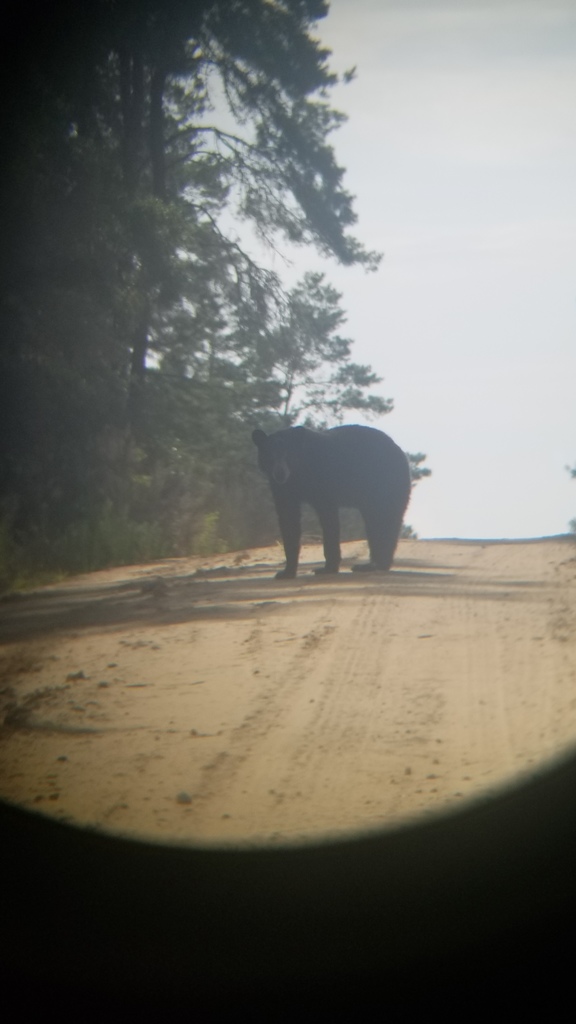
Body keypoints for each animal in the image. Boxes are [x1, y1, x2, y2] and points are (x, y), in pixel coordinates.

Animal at [252, 424, 412, 579]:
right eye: (270, 455)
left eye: (288, 454)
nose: (280, 472)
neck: (299, 474)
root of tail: (401, 453)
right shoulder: (282, 489)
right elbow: (288, 520)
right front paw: (286, 572)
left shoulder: (323, 483)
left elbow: (328, 520)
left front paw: (327, 568)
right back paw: (371, 564)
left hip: (385, 484)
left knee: (384, 520)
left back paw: (377, 564)